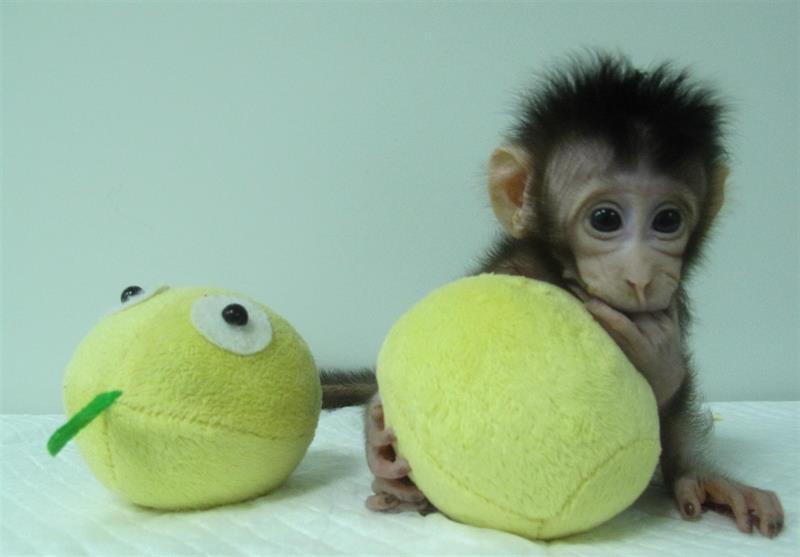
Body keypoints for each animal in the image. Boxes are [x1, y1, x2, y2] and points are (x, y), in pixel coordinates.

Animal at [321, 52, 784, 537]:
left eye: (668, 221)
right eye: (605, 219)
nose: (641, 275)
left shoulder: (675, 301)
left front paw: (701, 472)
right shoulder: (512, 268)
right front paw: (379, 441)